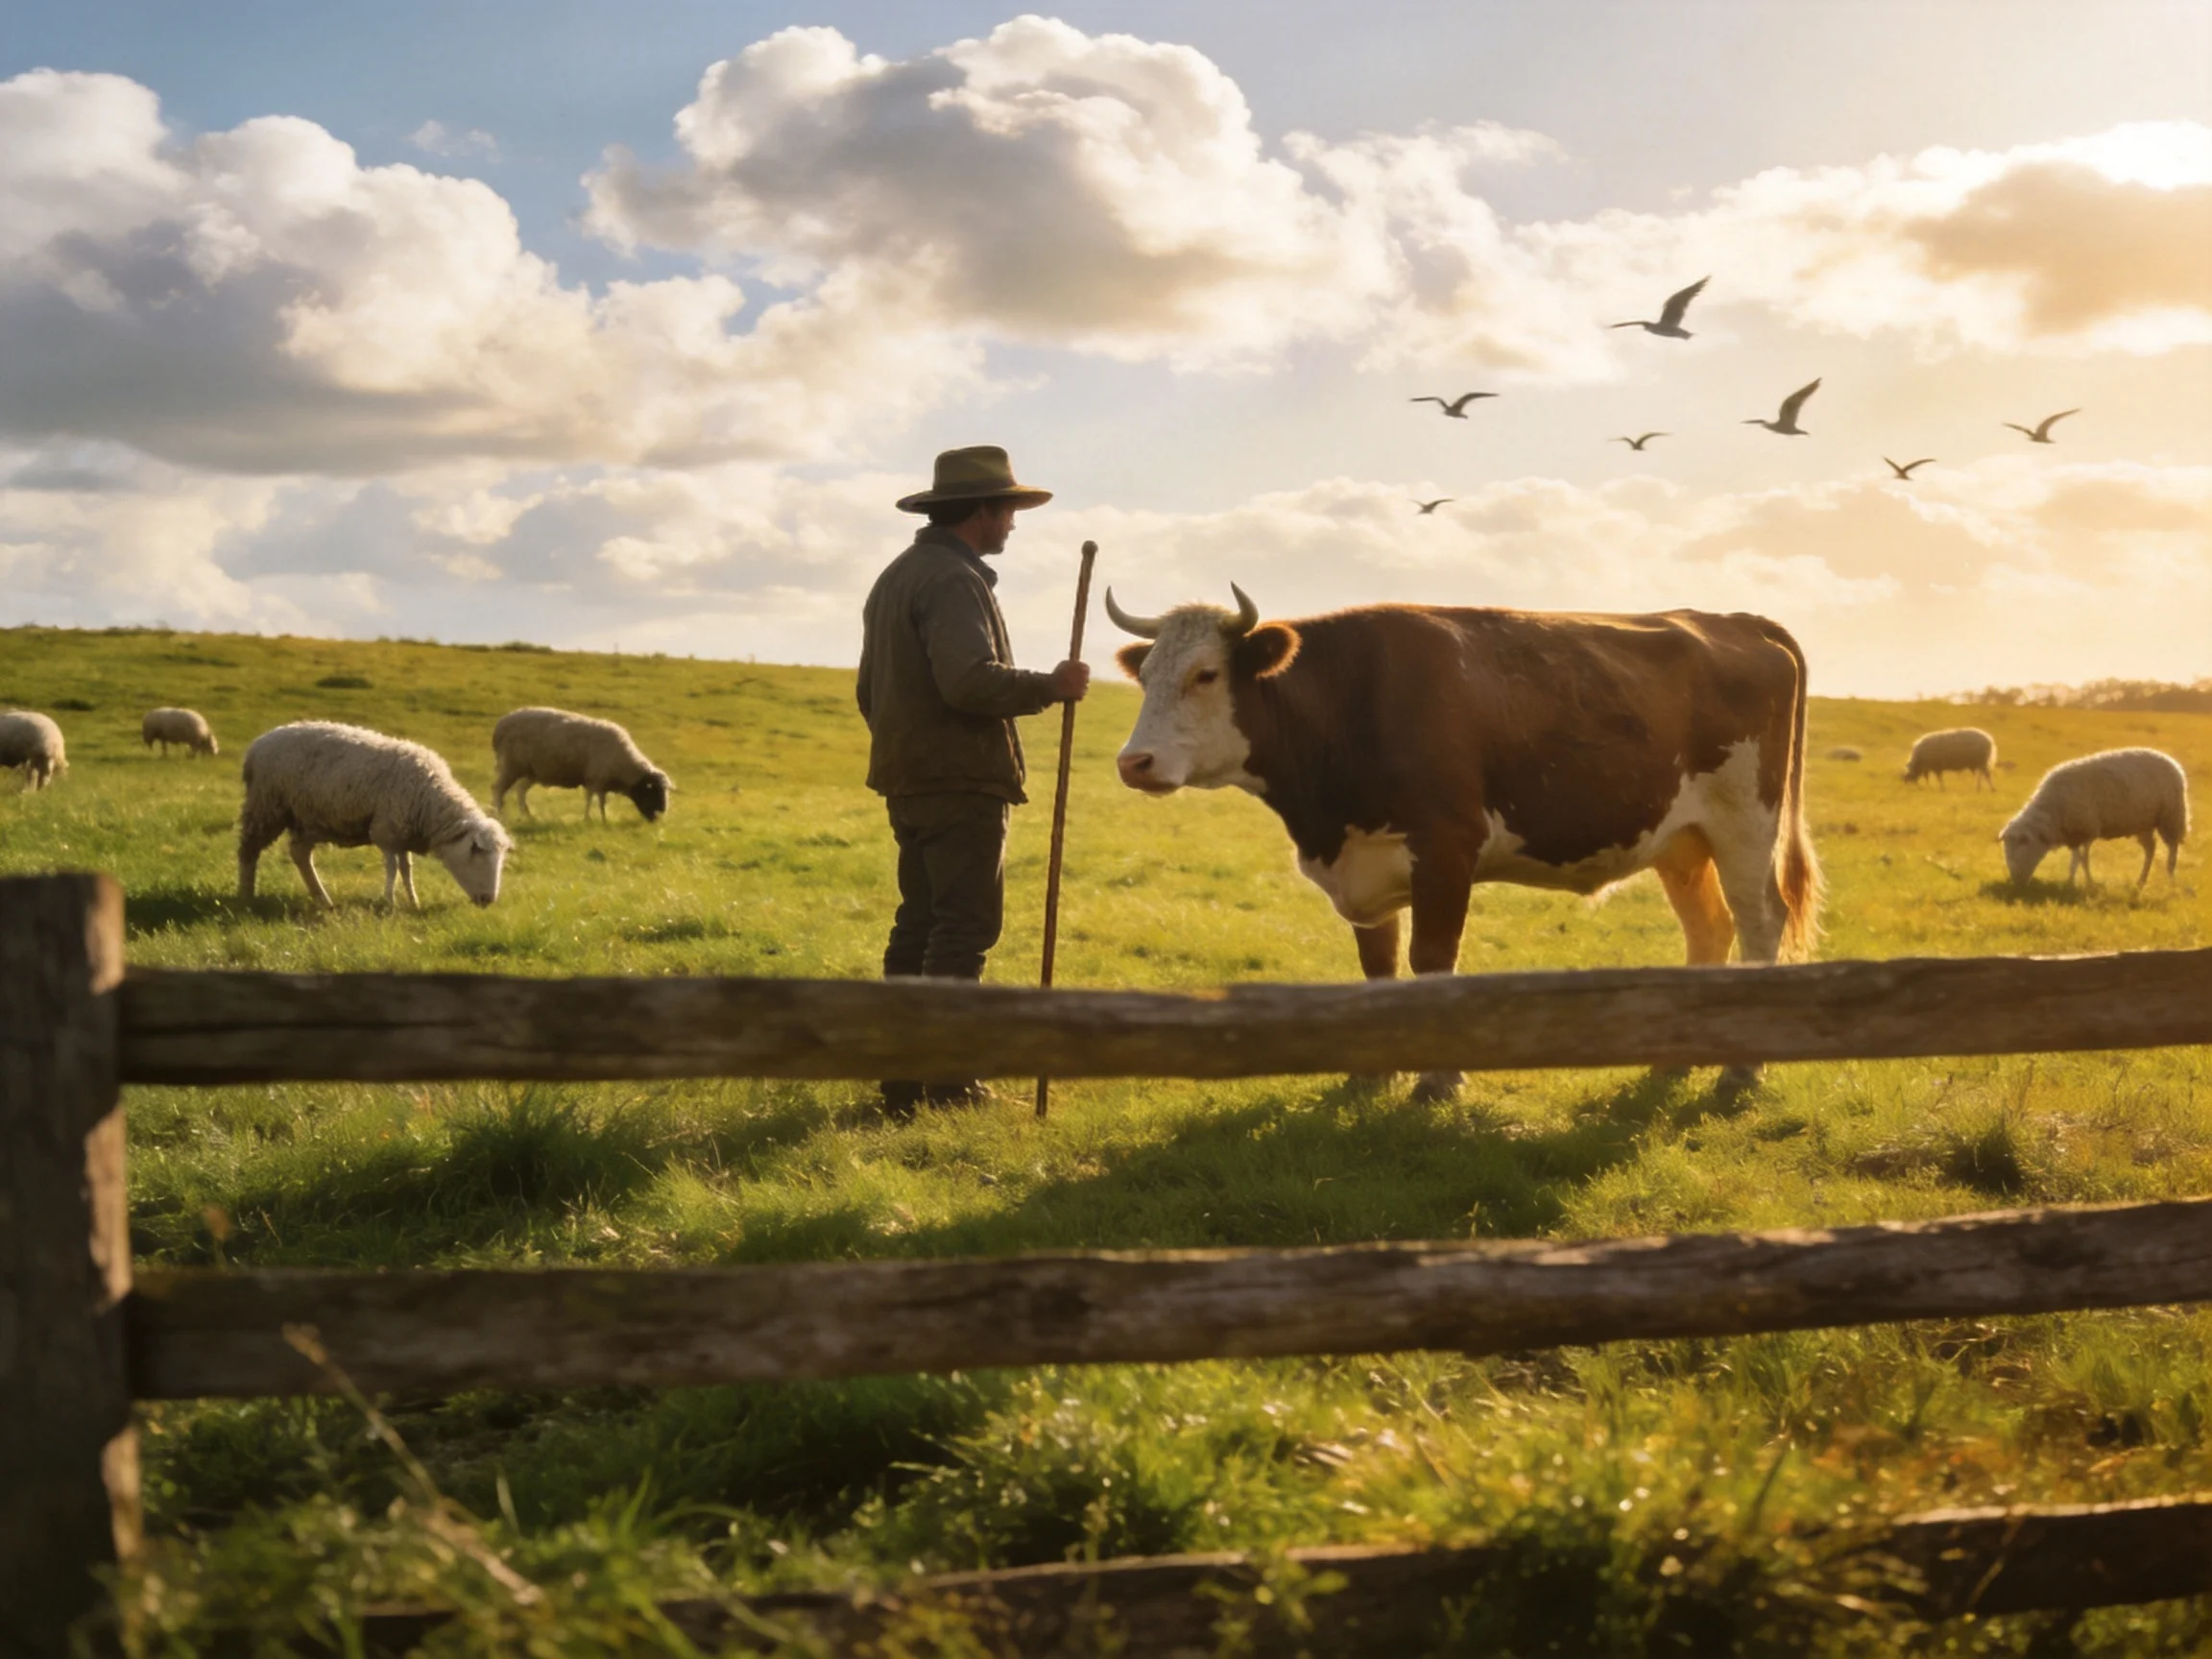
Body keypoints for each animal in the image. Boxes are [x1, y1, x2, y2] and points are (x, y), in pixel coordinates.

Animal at [238, 721, 510, 909]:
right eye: (477, 852)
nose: (488, 899)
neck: (428, 797)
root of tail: (257, 745)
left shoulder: (402, 835)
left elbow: (406, 869)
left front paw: (413, 901)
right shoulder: (385, 832)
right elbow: (392, 868)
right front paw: (389, 902)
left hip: (309, 820)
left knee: (299, 853)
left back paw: (323, 899)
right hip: (266, 806)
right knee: (248, 851)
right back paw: (246, 895)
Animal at [492, 707, 673, 823]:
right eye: (653, 791)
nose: (661, 815)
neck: (625, 764)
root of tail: (501, 725)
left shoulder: (598, 782)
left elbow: (596, 800)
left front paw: (597, 819)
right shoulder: (596, 779)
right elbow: (594, 800)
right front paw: (595, 819)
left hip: (530, 772)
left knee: (520, 792)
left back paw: (528, 817)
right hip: (511, 766)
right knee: (498, 790)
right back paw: (499, 815)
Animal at [1107, 588, 1821, 1100]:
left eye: (1205, 675)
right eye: (1145, 675)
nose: (1134, 762)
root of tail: (1739, 621)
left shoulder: (1445, 851)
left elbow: (1431, 961)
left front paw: (1438, 1080)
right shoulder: (1364, 865)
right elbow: (1377, 967)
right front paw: (1374, 1073)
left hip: (1745, 822)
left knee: (1760, 923)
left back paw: (1741, 1071)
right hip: (1682, 842)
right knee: (1709, 928)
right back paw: (1679, 1060)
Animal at [2000, 748, 2189, 888]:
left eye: (2019, 850)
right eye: (2006, 852)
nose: (2016, 882)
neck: (2052, 813)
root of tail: (2172, 761)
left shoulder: (2086, 830)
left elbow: (2083, 860)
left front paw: (2089, 883)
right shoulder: (2074, 835)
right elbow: (2075, 861)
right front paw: (2070, 881)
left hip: (2171, 817)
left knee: (2172, 849)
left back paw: (2171, 879)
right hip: (2143, 823)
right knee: (2150, 849)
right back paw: (2141, 881)